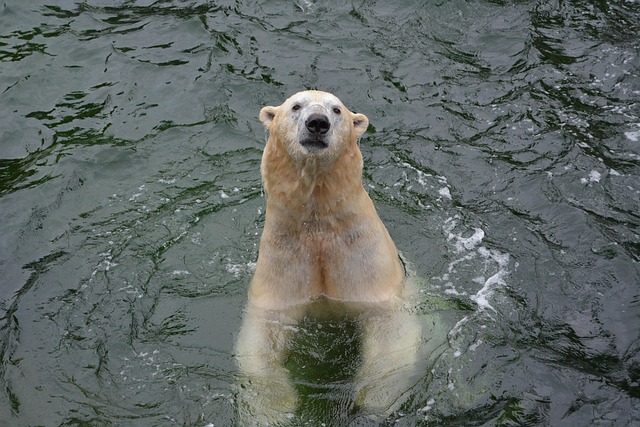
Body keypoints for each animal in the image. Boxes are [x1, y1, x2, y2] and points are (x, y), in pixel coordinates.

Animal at [234, 91, 442, 425]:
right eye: (296, 106)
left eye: (337, 110)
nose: (317, 123)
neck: (318, 224)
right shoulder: (283, 264)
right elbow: (262, 340)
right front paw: (272, 409)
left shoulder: (365, 265)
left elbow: (390, 334)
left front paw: (371, 400)